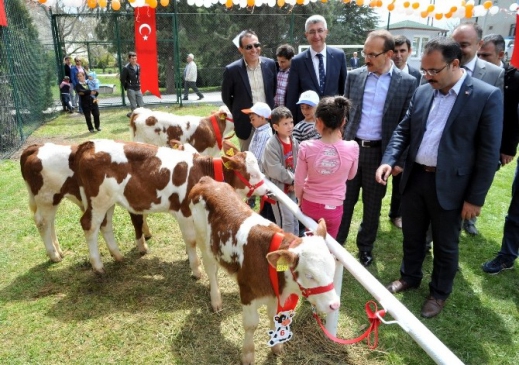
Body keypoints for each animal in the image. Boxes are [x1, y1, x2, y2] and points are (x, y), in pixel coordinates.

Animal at [19, 141, 150, 264]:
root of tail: (35, 148)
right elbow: (138, 221)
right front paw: (143, 246)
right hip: (47, 198)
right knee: (42, 222)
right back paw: (54, 255)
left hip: (52, 200)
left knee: (50, 222)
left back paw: (59, 251)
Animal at [73, 139, 268, 272]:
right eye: (252, 174)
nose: (267, 188)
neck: (201, 171)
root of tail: (90, 145)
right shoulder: (183, 212)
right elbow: (191, 240)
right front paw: (196, 269)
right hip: (98, 200)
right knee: (89, 225)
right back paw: (98, 266)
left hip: (108, 201)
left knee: (105, 225)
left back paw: (118, 256)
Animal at [189, 176, 340, 362]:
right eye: (309, 275)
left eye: (332, 269)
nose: (335, 304)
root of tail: (207, 181)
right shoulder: (248, 293)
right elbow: (251, 324)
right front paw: (247, 355)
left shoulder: (275, 296)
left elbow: (274, 318)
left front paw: (277, 347)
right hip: (203, 241)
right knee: (211, 270)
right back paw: (216, 300)